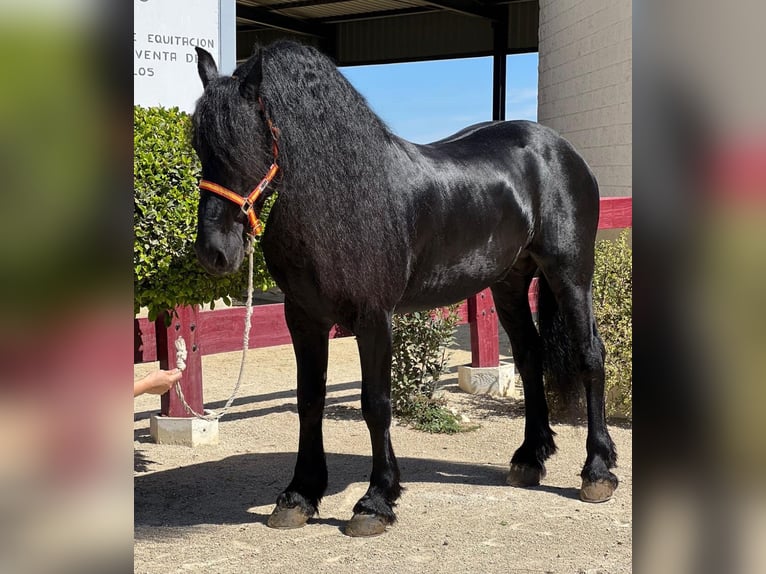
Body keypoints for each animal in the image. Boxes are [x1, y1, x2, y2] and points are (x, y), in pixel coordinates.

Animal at [190, 41, 616, 540]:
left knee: (589, 354)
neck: (342, 198)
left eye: (247, 143)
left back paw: (597, 471)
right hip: (510, 282)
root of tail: (559, 148)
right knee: (530, 356)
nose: (214, 252)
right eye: (199, 145)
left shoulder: (374, 318)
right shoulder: (304, 318)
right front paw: (299, 495)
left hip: (570, 272)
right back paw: (529, 459)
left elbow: (375, 404)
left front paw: (375, 501)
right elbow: (309, 400)